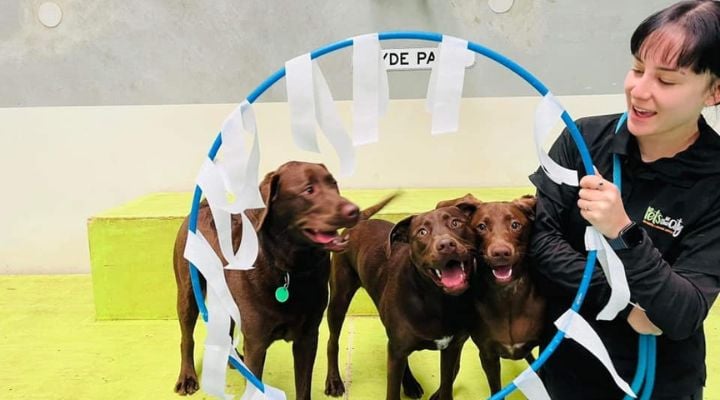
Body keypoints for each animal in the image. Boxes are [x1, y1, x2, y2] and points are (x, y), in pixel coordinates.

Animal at [172, 161, 382, 398]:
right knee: (186, 337)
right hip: (188, 293)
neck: (290, 270)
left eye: (333, 184)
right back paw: (187, 377)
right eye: (309, 190)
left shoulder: (307, 339)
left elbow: (304, 387)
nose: (354, 211)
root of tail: (205, 206)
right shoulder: (256, 344)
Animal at [326, 203, 478, 400]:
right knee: (332, 341)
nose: (446, 245)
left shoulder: (451, 349)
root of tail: (360, 220)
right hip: (339, 300)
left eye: (455, 223)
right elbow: (392, 391)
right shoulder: (397, 353)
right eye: (422, 232)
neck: (437, 301)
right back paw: (334, 380)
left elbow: (447, 384)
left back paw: (410, 382)